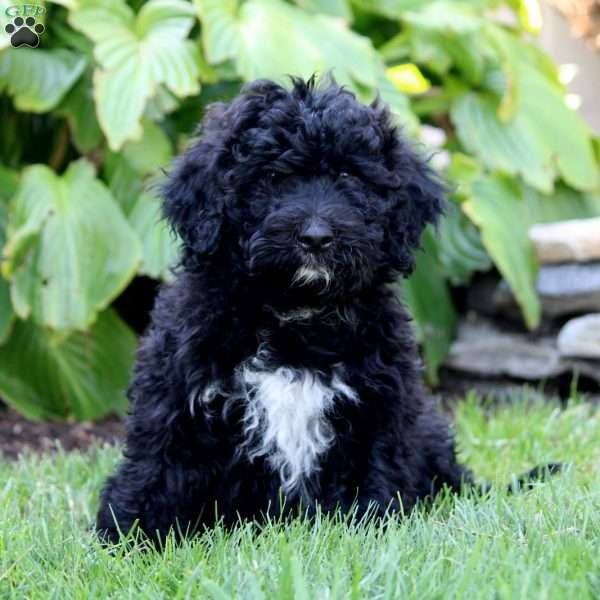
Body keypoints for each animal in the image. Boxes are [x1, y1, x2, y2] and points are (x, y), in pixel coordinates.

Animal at [97, 76, 552, 544]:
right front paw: (130, 537)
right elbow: (157, 462)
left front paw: (372, 529)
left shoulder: (380, 403)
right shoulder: (176, 392)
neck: (294, 314)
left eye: (349, 175)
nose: (316, 237)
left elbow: (376, 470)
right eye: (271, 178)